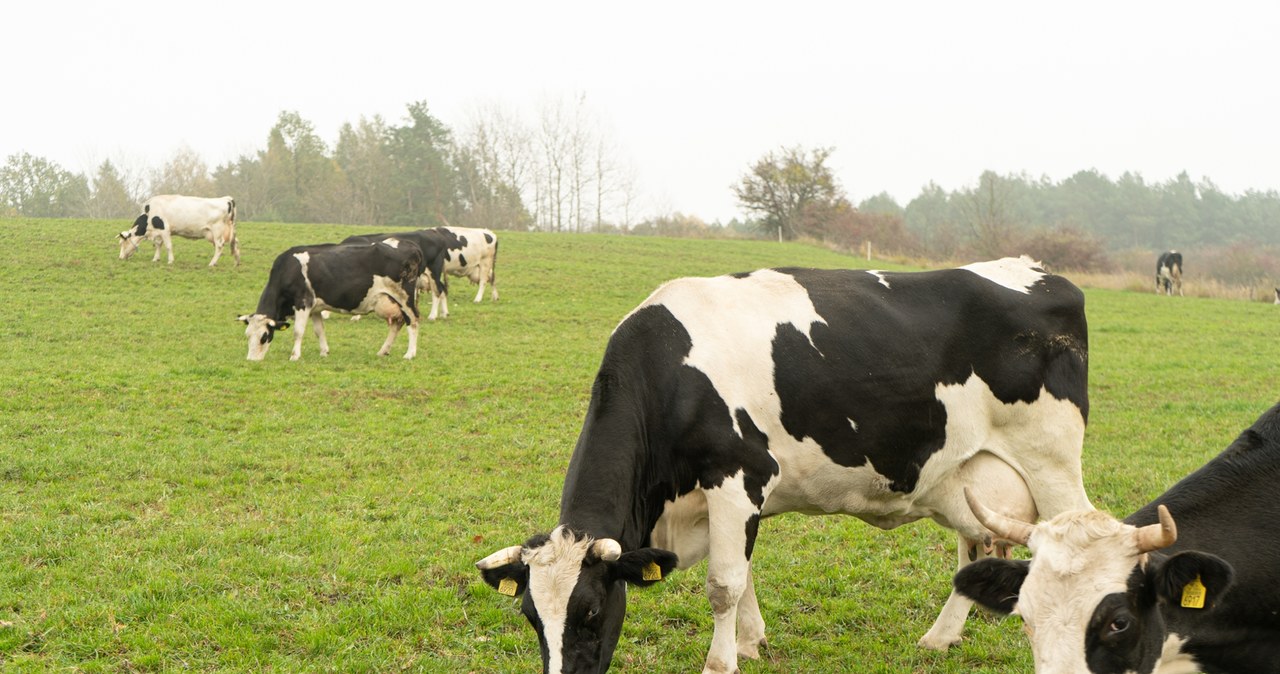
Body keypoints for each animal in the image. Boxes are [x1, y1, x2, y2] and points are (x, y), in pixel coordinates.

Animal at [235, 240, 424, 360]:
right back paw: (383, 351)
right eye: (247, 335)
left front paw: (295, 355)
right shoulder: (315, 308)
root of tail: (411, 245)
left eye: (264, 336)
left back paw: (410, 354)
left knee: (413, 321)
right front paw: (324, 352)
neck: (288, 269)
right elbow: (319, 330)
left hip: (404, 298)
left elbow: (298, 331)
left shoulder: (303, 302)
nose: (251, 360)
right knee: (397, 324)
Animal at [476, 255, 1095, 670]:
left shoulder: (738, 472)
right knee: (975, 546)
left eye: (590, 612)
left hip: (1052, 461)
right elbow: (742, 572)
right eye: (531, 617)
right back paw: (940, 638)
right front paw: (751, 643)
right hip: (967, 475)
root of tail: (1039, 270)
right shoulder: (732, 498)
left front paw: (720, 662)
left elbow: (723, 582)